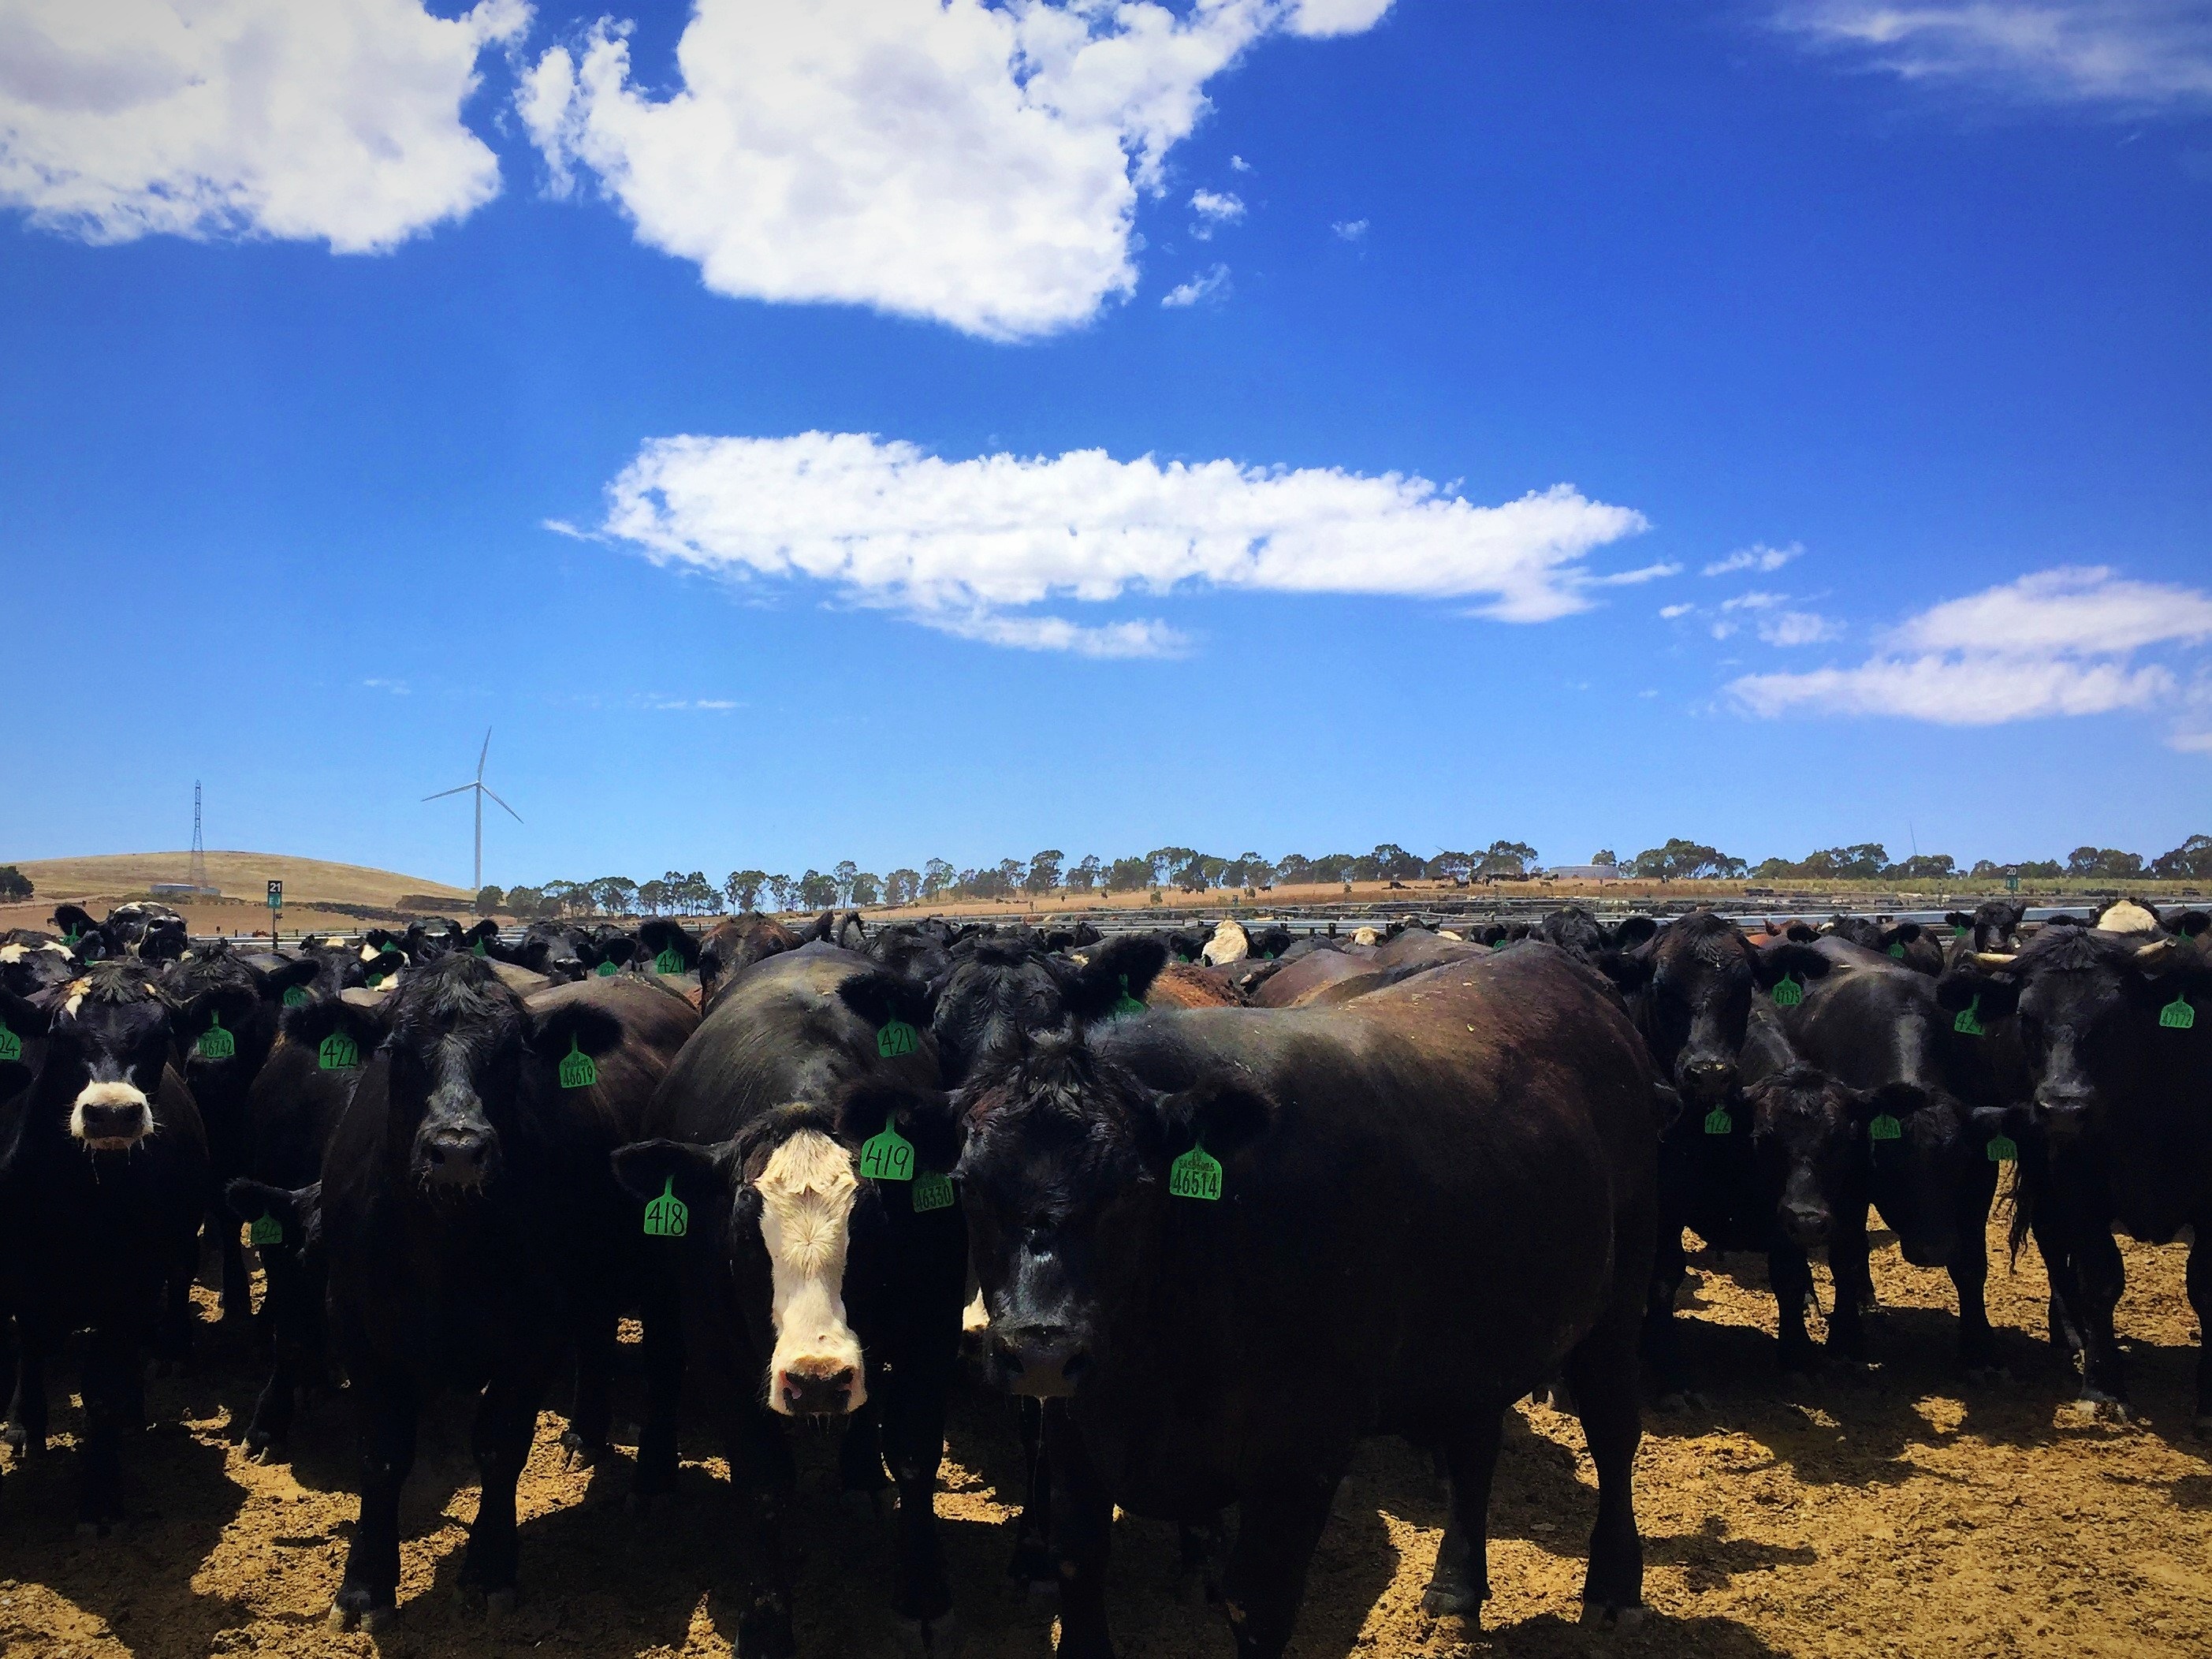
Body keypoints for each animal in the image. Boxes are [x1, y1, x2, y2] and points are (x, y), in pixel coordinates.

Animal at [619, 946, 973, 1659]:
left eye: (873, 1227)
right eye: (743, 1234)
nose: (815, 1380)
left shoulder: (933, 1322)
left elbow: (915, 1455)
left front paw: (923, 1594)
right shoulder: (718, 1349)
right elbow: (760, 1483)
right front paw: (766, 1625)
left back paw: (861, 1474)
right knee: (663, 1367)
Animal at [959, 942, 1654, 1654]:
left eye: (1133, 1188)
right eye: (967, 1184)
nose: (1041, 1353)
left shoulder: (1305, 1448)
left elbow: (1256, 1604)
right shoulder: (1075, 1426)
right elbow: (1079, 1561)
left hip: (1622, 1289)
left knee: (1614, 1428)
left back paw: (1613, 1588)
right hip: (1477, 1336)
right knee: (1473, 1443)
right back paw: (1456, 1589)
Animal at [1946, 929, 2203, 1424]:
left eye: (2117, 1015)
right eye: (2026, 1017)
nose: (2063, 1106)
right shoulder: (2079, 1187)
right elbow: (2100, 1280)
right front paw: (2103, 1387)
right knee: (2052, 1239)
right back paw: (2072, 1334)